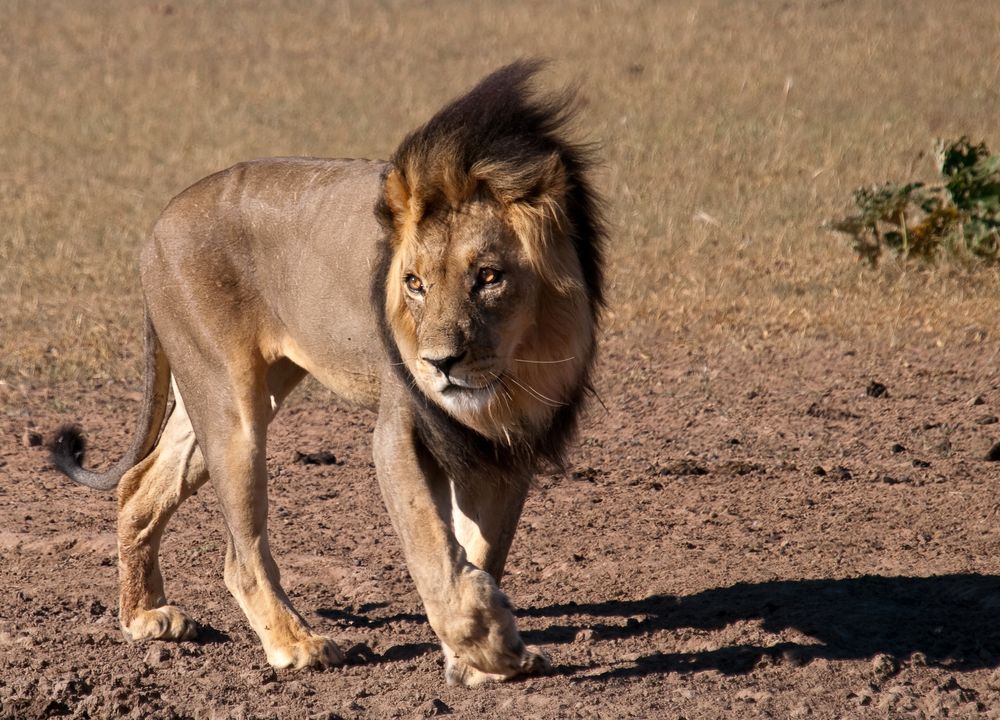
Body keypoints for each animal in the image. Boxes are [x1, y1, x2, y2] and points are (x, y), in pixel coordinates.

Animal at [50, 62, 604, 688]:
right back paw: (296, 645)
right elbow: (431, 547)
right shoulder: (402, 429)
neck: (511, 372)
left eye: (488, 277)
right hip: (232, 412)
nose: (439, 364)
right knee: (239, 555)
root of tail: (159, 222)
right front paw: (490, 645)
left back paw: (144, 617)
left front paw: (479, 658)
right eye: (414, 284)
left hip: (224, 397)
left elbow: (482, 548)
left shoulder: (510, 445)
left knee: (139, 485)